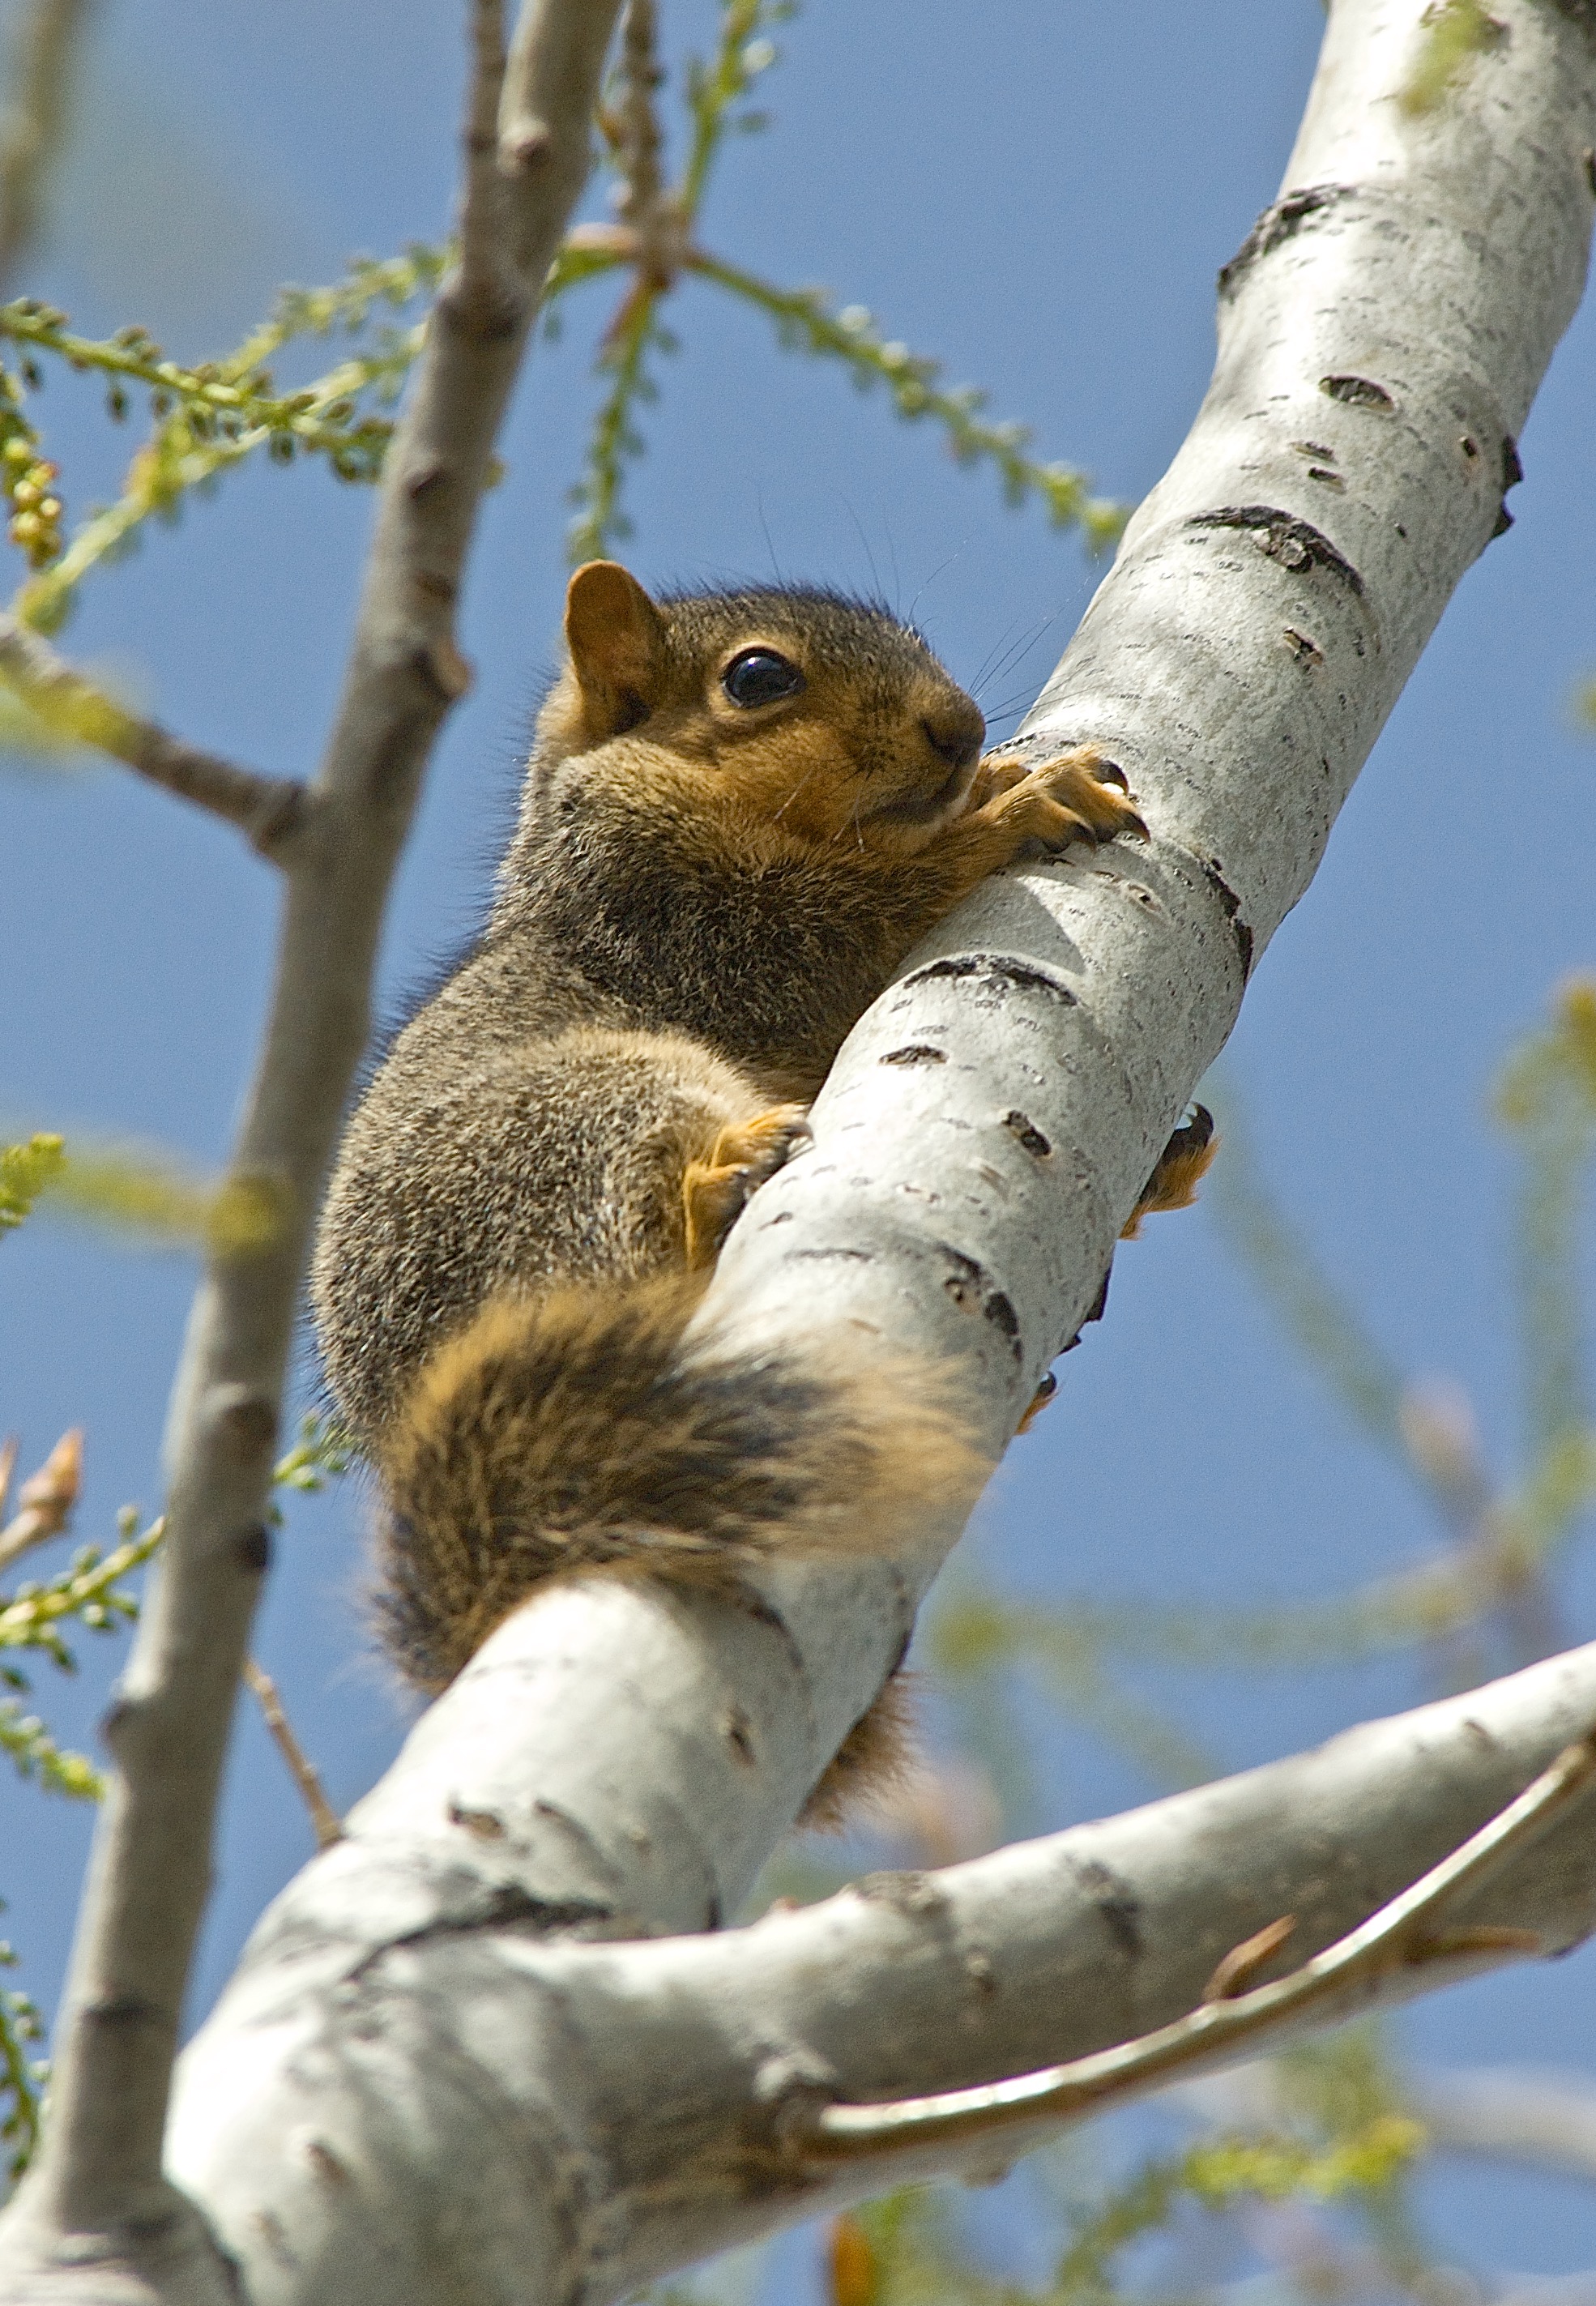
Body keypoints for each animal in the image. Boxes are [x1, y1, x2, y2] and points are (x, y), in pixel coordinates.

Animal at [309, 557, 1208, 1817]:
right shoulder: (671, 906)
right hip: (576, 1111)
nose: (959, 727)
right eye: (756, 678)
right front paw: (1010, 803)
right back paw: (719, 1183)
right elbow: (840, 921)